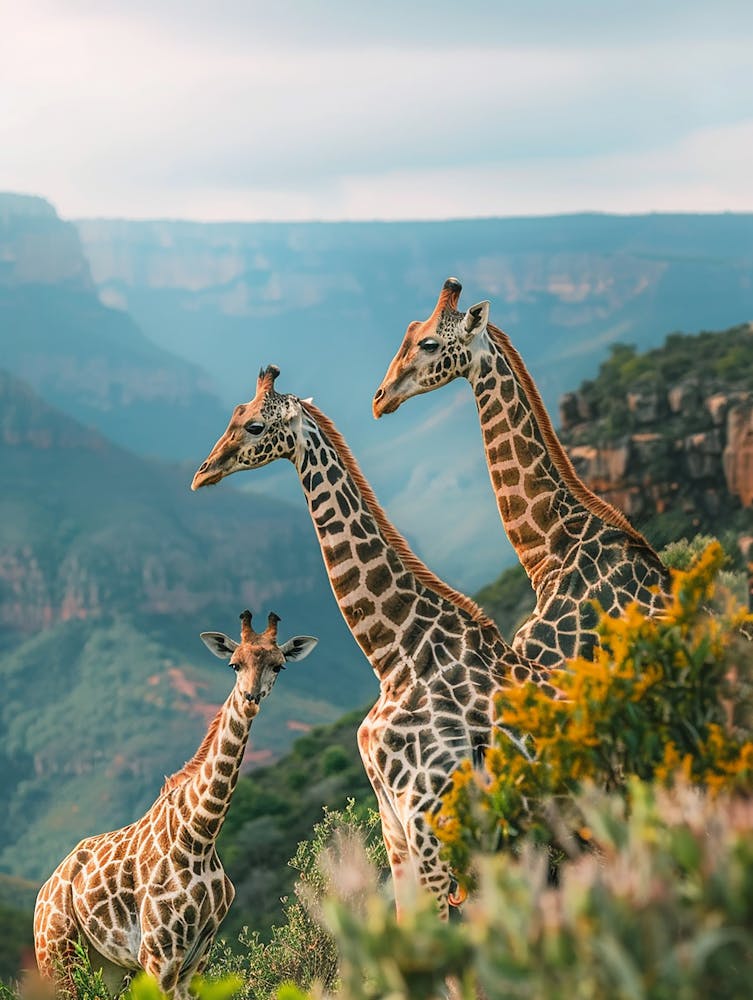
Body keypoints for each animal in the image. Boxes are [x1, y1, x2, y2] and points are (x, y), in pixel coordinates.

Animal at [34, 610, 317, 998]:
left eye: (279, 665)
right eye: (234, 664)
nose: (250, 697)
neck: (200, 833)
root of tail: (43, 893)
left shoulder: (197, 957)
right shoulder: (158, 954)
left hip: (108, 965)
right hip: (57, 957)